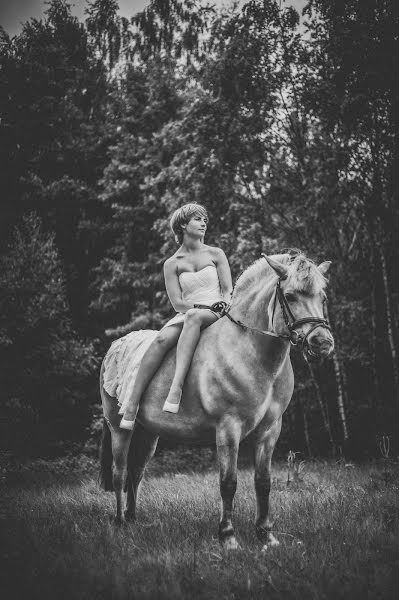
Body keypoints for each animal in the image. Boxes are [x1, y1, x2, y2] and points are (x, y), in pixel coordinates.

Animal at [100, 251, 334, 552]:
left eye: (323, 297)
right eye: (291, 296)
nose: (322, 344)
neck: (248, 349)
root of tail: (116, 347)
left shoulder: (270, 430)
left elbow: (263, 482)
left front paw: (266, 536)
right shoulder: (228, 428)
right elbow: (228, 483)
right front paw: (228, 537)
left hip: (148, 433)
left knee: (135, 472)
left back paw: (131, 519)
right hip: (119, 428)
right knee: (119, 473)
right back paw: (119, 523)